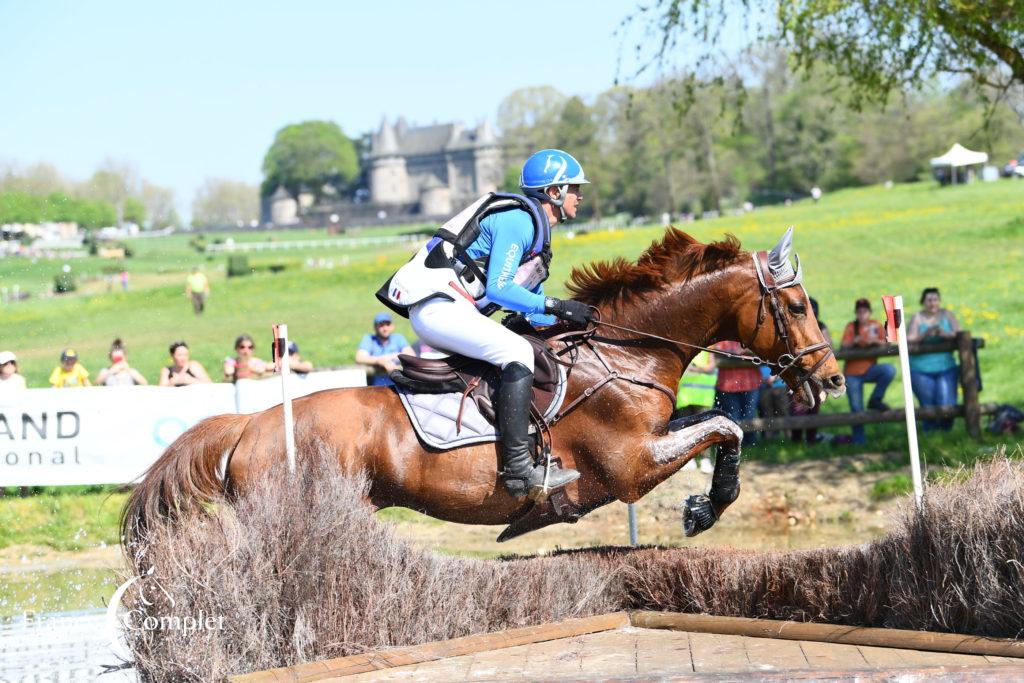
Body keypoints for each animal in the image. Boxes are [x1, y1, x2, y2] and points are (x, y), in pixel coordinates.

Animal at [119, 227, 843, 552]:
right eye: (798, 305)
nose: (832, 377)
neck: (624, 350)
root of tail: (250, 423)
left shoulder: (653, 434)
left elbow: (717, 416)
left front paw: (705, 501)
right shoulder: (630, 466)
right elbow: (727, 424)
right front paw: (704, 509)